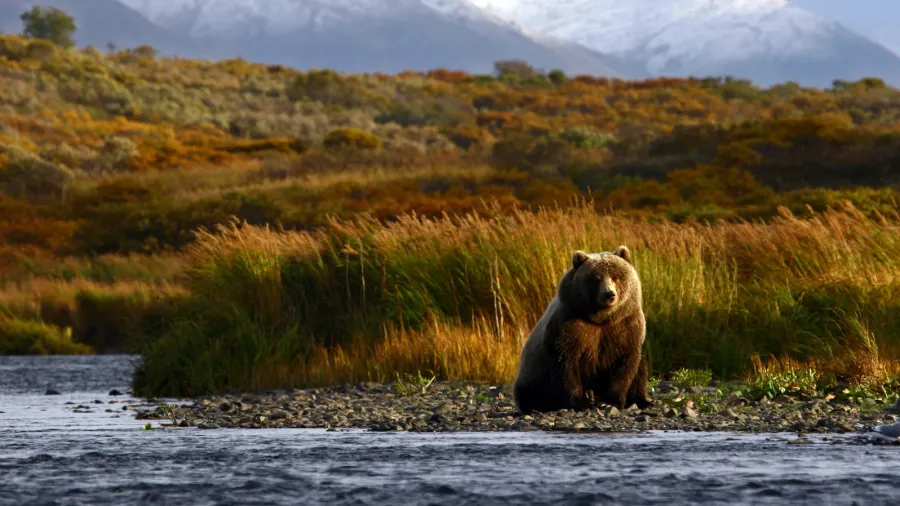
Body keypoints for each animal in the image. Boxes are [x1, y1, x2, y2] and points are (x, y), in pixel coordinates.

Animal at [513, 246, 652, 414]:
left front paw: (611, 401)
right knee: (532, 394)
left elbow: (624, 365)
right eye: (596, 278)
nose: (609, 294)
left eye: (616, 276)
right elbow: (566, 365)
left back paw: (642, 401)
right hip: (534, 374)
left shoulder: (625, 325)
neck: (601, 318)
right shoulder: (570, 326)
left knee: (641, 368)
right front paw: (580, 403)